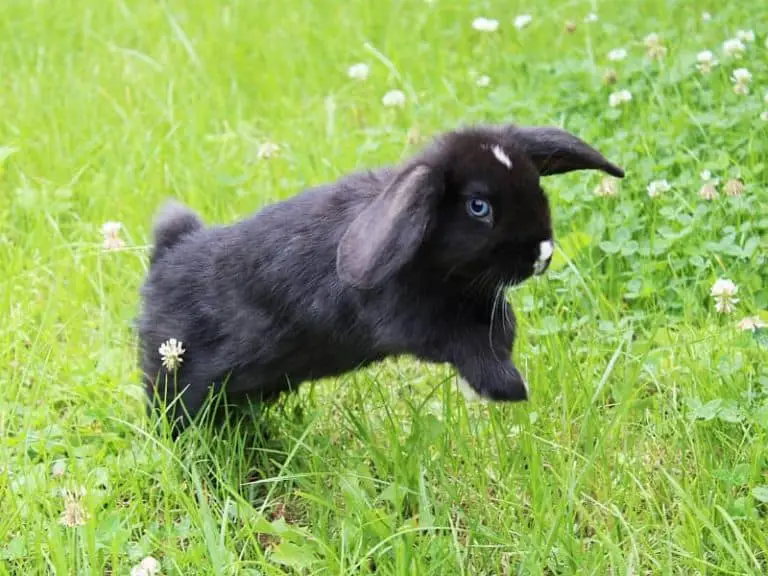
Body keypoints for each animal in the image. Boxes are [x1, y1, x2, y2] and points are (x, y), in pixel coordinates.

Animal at [137, 123, 624, 433]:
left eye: (536, 185)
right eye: (478, 206)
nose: (542, 254)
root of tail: (168, 253)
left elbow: (496, 327)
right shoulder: (417, 322)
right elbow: (469, 344)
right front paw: (508, 388)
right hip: (176, 373)